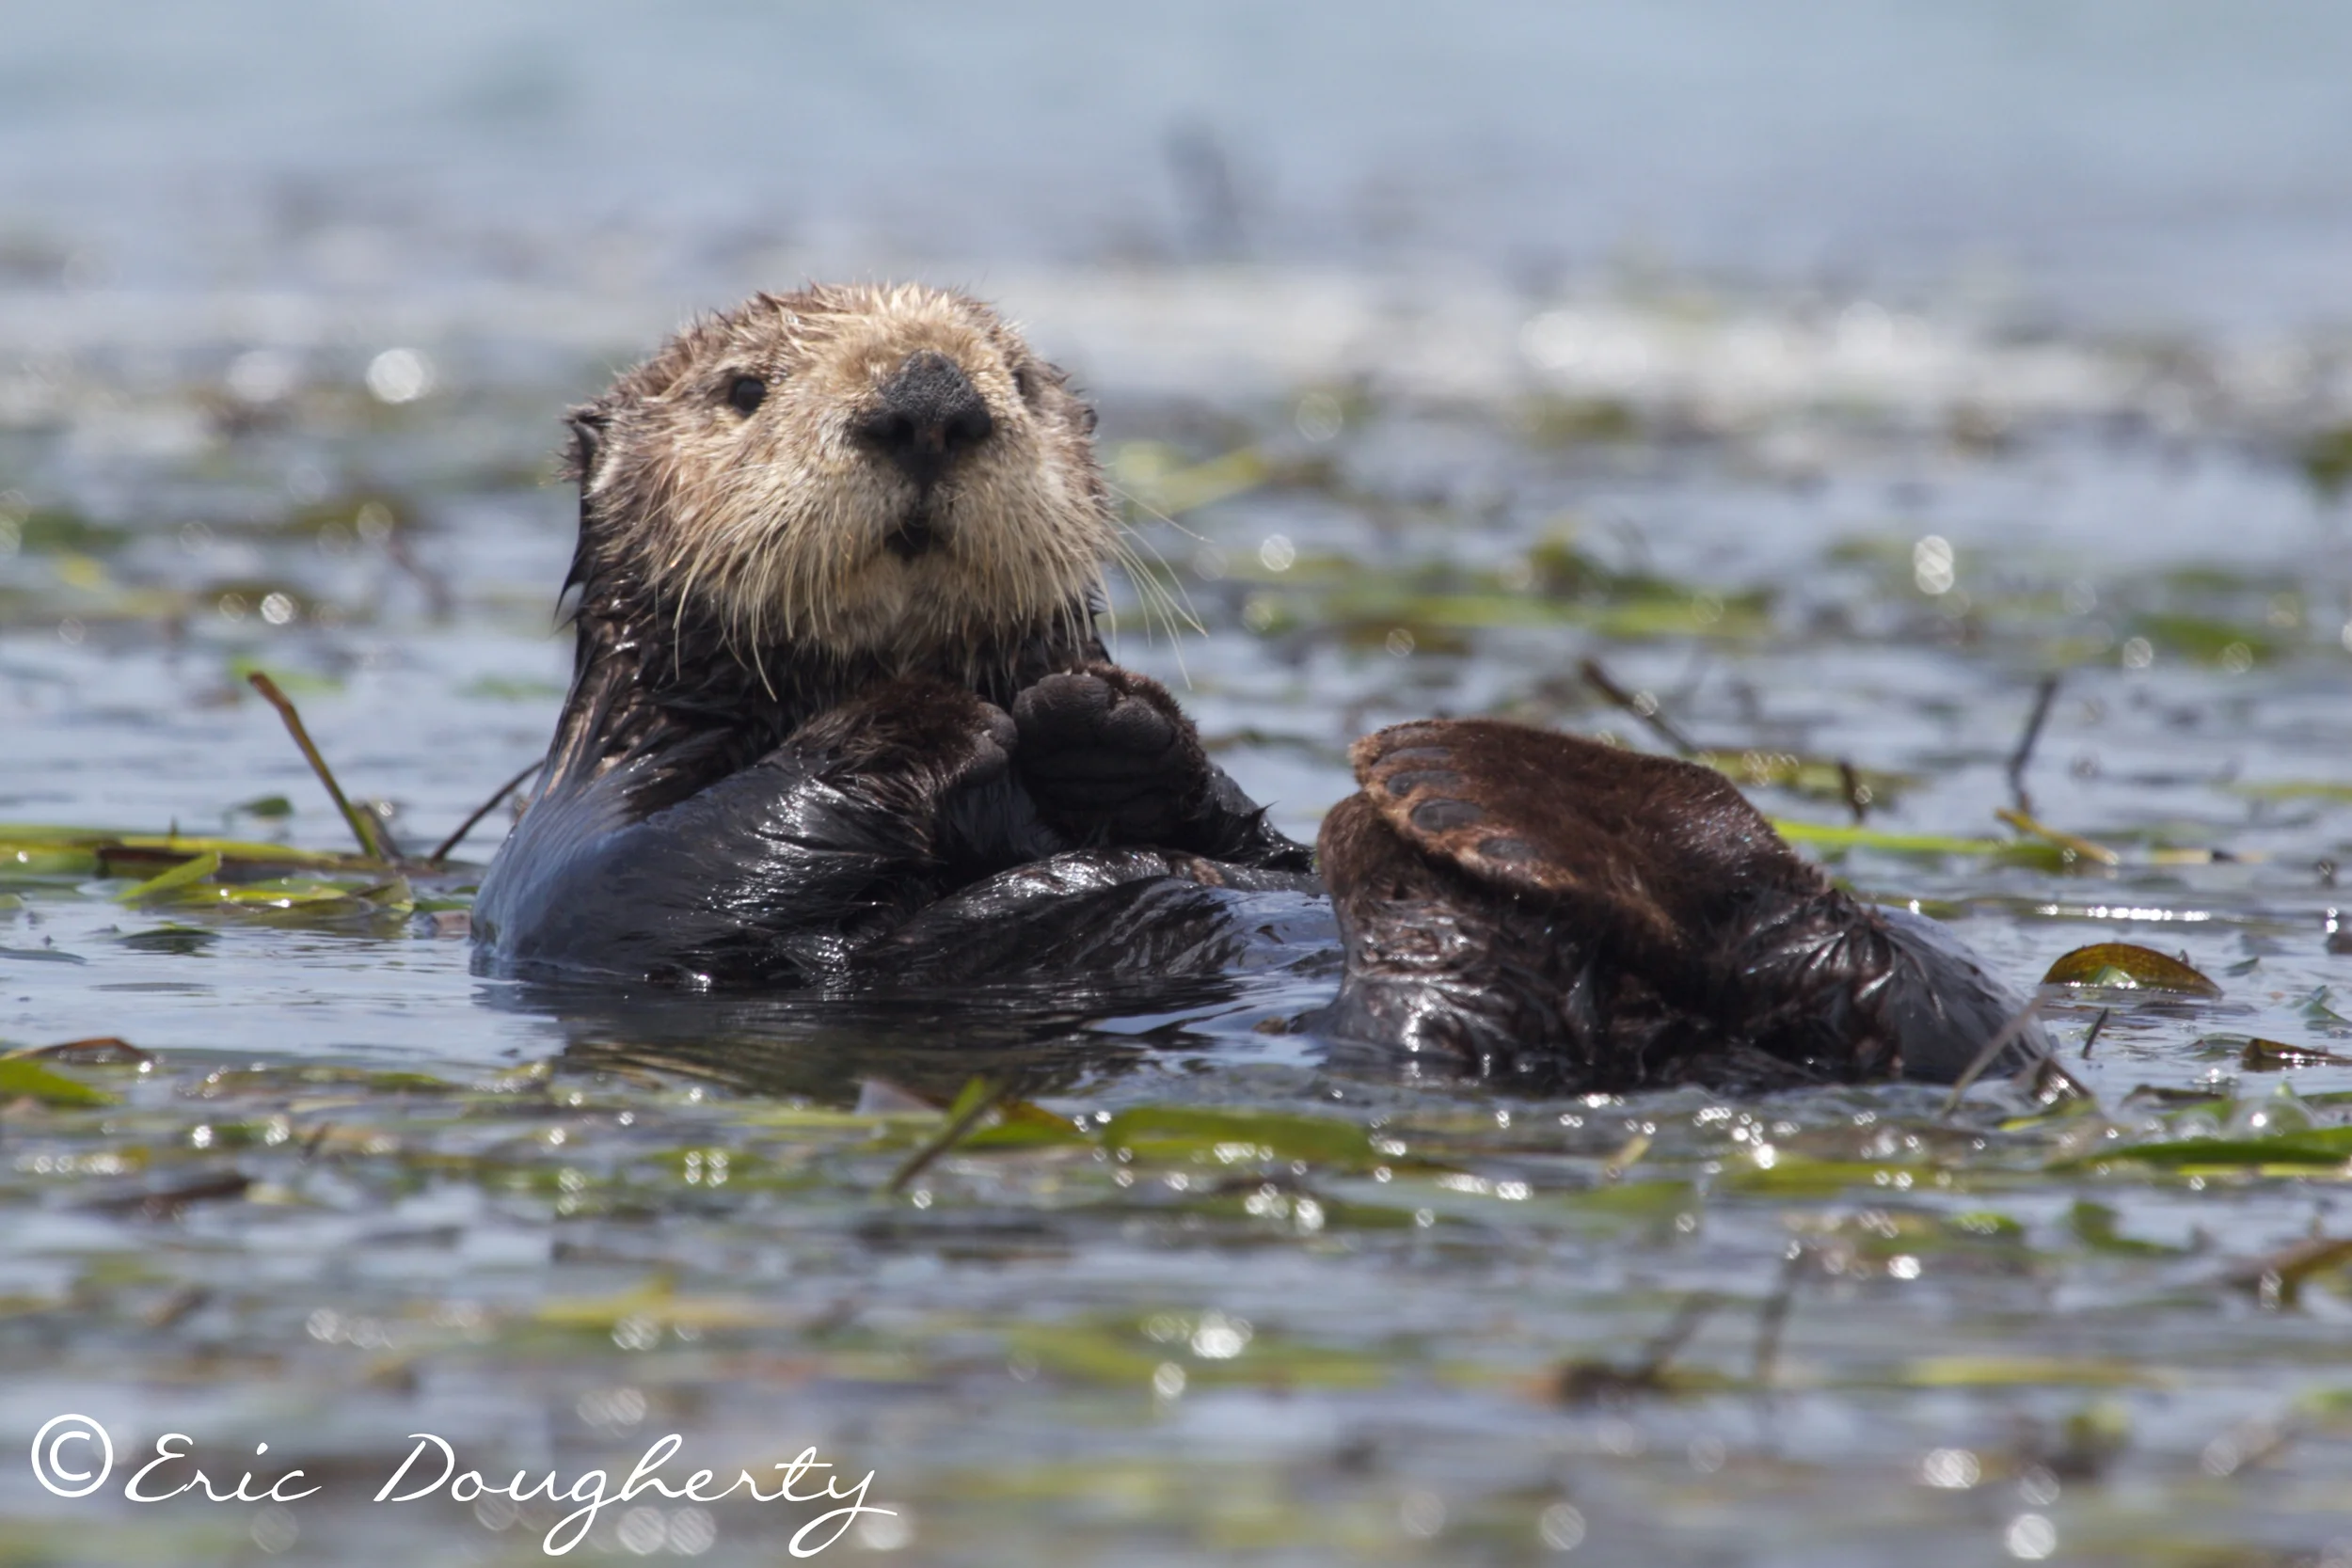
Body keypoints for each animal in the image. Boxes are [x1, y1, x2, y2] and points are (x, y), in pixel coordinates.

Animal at [473, 283, 2044, 1093]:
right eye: (743, 388)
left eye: (1019, 378)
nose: (928, 397)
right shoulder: (573, 862)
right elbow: (676, 872)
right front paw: (942, 716)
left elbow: (1240, 831)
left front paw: (1101, 717)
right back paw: (1501, 800)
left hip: (1917, 979)